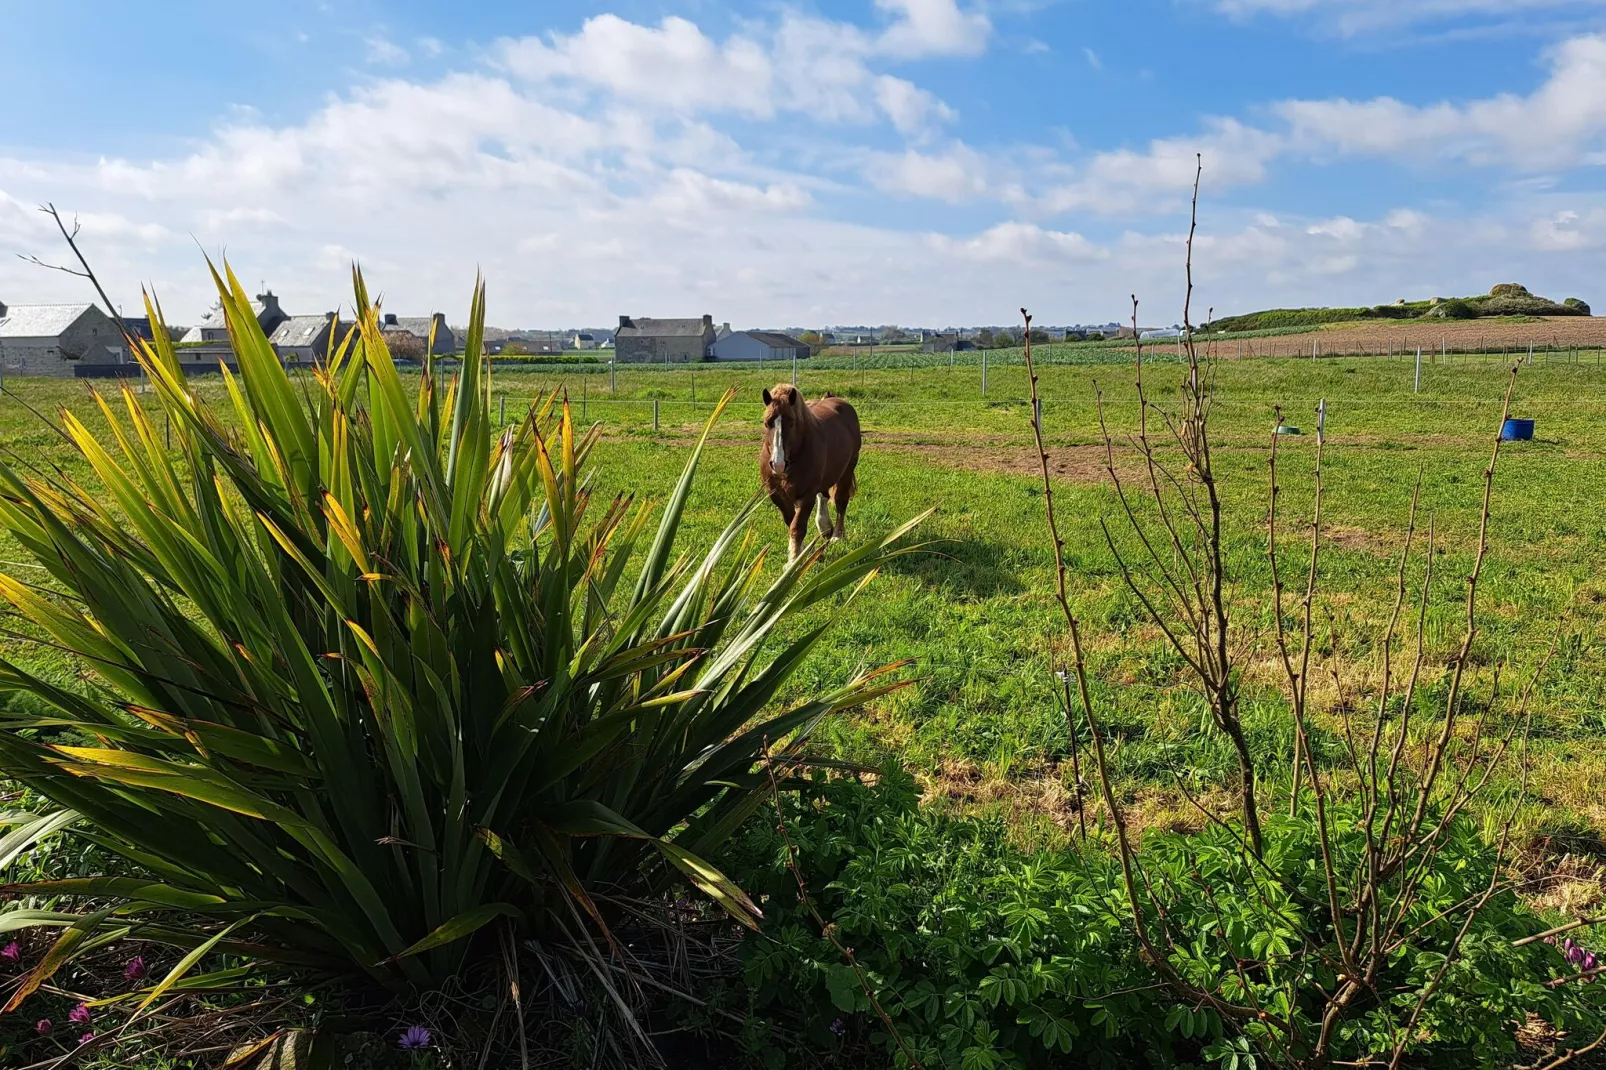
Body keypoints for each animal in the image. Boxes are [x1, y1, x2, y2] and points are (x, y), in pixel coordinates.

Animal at [758, 385, 860, 565]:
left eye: (791, 422)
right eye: (767, 423)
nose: (778, 464)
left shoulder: (806, 495)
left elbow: (797, 526)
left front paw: (793, 560)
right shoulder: (776, 493)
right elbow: (790, 521)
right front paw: (803, 550)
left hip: (848, 469)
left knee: (841, 502)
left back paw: (836, 535)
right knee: (824, 495)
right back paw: (825, 527)